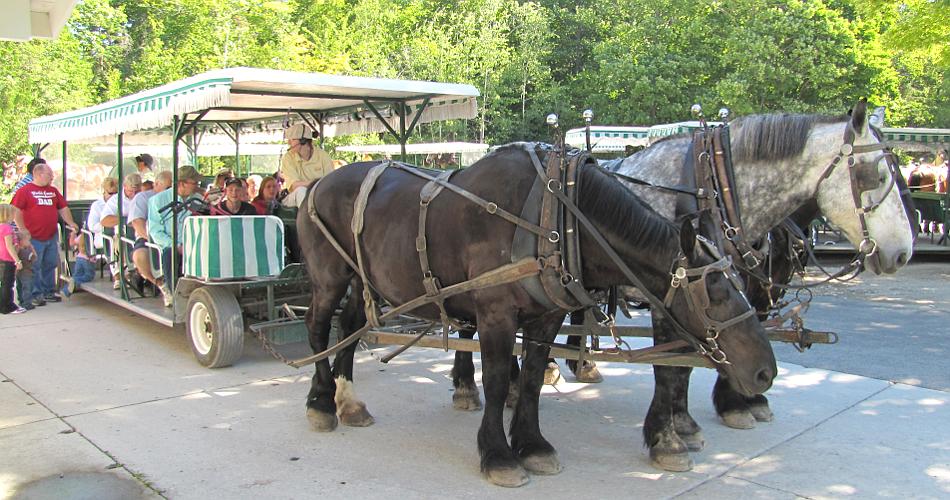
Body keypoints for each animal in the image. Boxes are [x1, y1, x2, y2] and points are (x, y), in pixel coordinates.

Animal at [302, 145, 776, 488]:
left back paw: (349, 401)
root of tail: (317, 183)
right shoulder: (495, 313)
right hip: (329, 277)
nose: (765, 372)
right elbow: (496, 383)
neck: (558, 219)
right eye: (714, 291)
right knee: (318, 328)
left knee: (349, 327)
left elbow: (530, 381)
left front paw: (532, 446)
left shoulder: (546, 317)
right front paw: (497, 455)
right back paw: (321, 403)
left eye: (738, 279)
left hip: (362, 278)